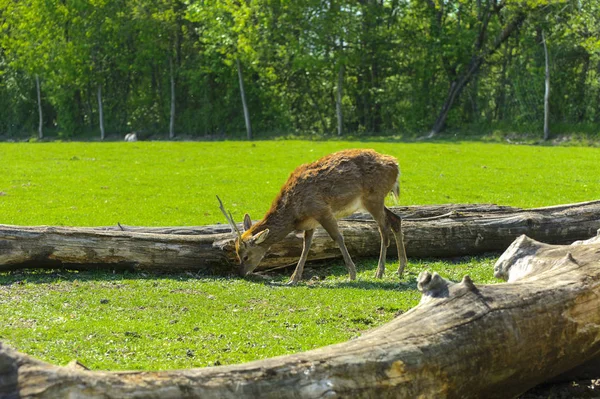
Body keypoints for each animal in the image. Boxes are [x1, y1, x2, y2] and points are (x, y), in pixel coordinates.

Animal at [218, 149, 410, 284]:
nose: (241, 273)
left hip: (374, 197)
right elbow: (306, 246)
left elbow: (338, 237)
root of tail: (397, 165)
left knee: (383, 230)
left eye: (245, 256)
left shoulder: (321, 210)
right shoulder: (310, 222)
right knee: (396, 219)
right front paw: (293, 279)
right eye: (236, 253)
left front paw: (352, 274)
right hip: (374, 201)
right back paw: (400, 268)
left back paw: (380, 272)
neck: (294, 213)